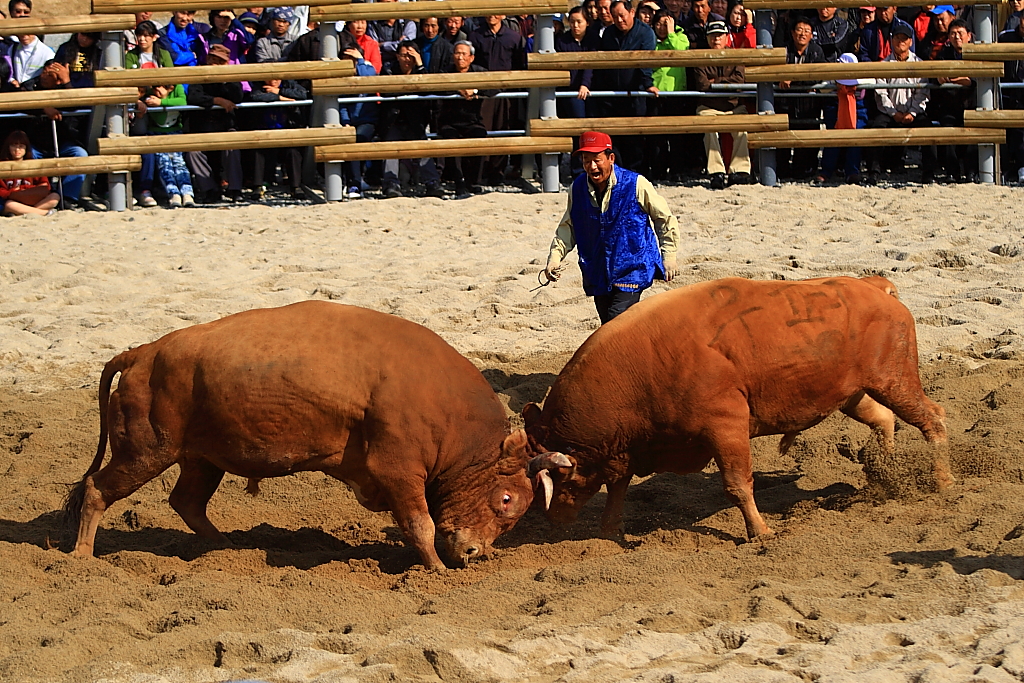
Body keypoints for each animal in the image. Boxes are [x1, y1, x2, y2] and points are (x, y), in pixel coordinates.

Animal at [62, 301, 536, 571]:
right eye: (506, 499)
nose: (475, 553)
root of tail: (142, 354)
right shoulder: (399, 470)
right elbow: (420, 523)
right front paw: (435, 569)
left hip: (202, 458)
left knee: (187, 502)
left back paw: (227, 548)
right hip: (145, 453)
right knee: (97, 490)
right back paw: (82, 557)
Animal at [524, 276, 951, 541]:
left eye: (561, 480)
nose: (551, 520)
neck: (643, 365)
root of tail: (873, 286)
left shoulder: (725, 427)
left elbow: (737, 484)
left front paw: (759, 531)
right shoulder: (630, 447)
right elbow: (618, 485)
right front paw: (609, 529)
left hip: (895, 380)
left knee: (933, 420)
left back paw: (942, 481)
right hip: (853, 393)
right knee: (884, 419)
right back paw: (885, 471)